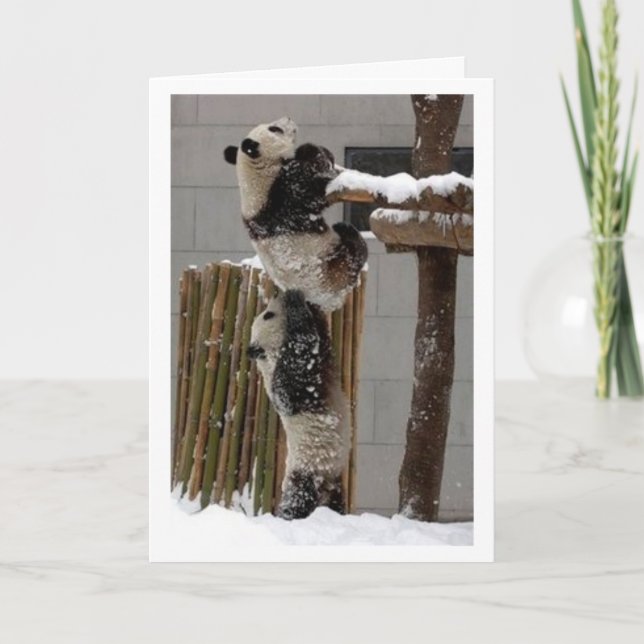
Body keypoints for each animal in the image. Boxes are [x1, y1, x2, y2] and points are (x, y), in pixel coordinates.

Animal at [224, 116, 368, 312]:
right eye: (274, 129)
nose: (289, 118)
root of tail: (328, 303)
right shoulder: (282, 196)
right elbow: (311, 188)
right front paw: (308, 149)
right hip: (334, 265)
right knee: (355, 254)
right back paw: (347, 230)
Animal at [248, 289, 349, 520]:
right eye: (268, 315)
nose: (278, 295)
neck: (269, 354)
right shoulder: (292, 382)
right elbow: (300, 356)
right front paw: (295, 300)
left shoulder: (323, 356)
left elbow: (321, 336)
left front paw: (311, 306)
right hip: (305, 469)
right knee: (298, 500)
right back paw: (288, 516)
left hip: (334, 476)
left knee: (336, 503)